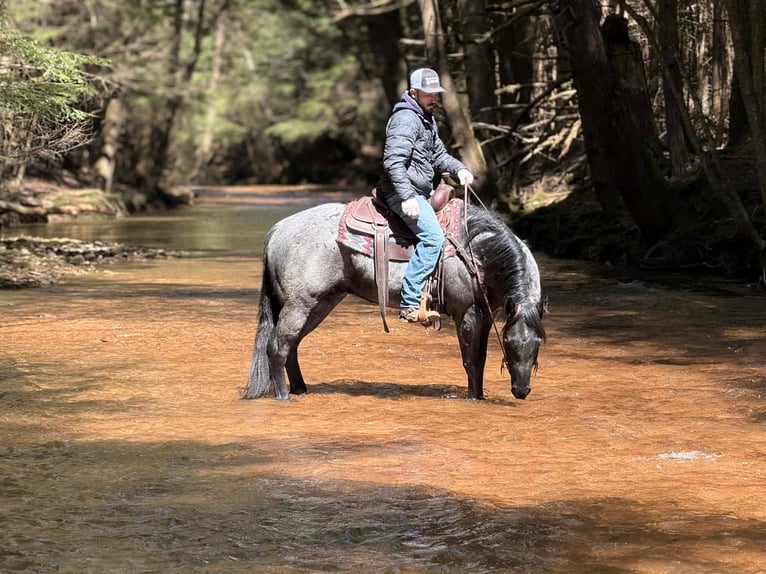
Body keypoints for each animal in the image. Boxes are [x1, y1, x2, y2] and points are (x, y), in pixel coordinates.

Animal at [243, 200, 546, 401]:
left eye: (539, 342)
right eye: (509, 342)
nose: (521, 391)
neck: (477, 252)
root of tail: (278, 229)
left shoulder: (484, 314)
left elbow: (480, 359)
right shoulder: (467, 313)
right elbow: (471, 361)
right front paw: (474, 398)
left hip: (320, 304)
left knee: (291, 346)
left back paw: (300, 390)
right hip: (299, 304)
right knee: (276, 347)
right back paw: (284, 397)